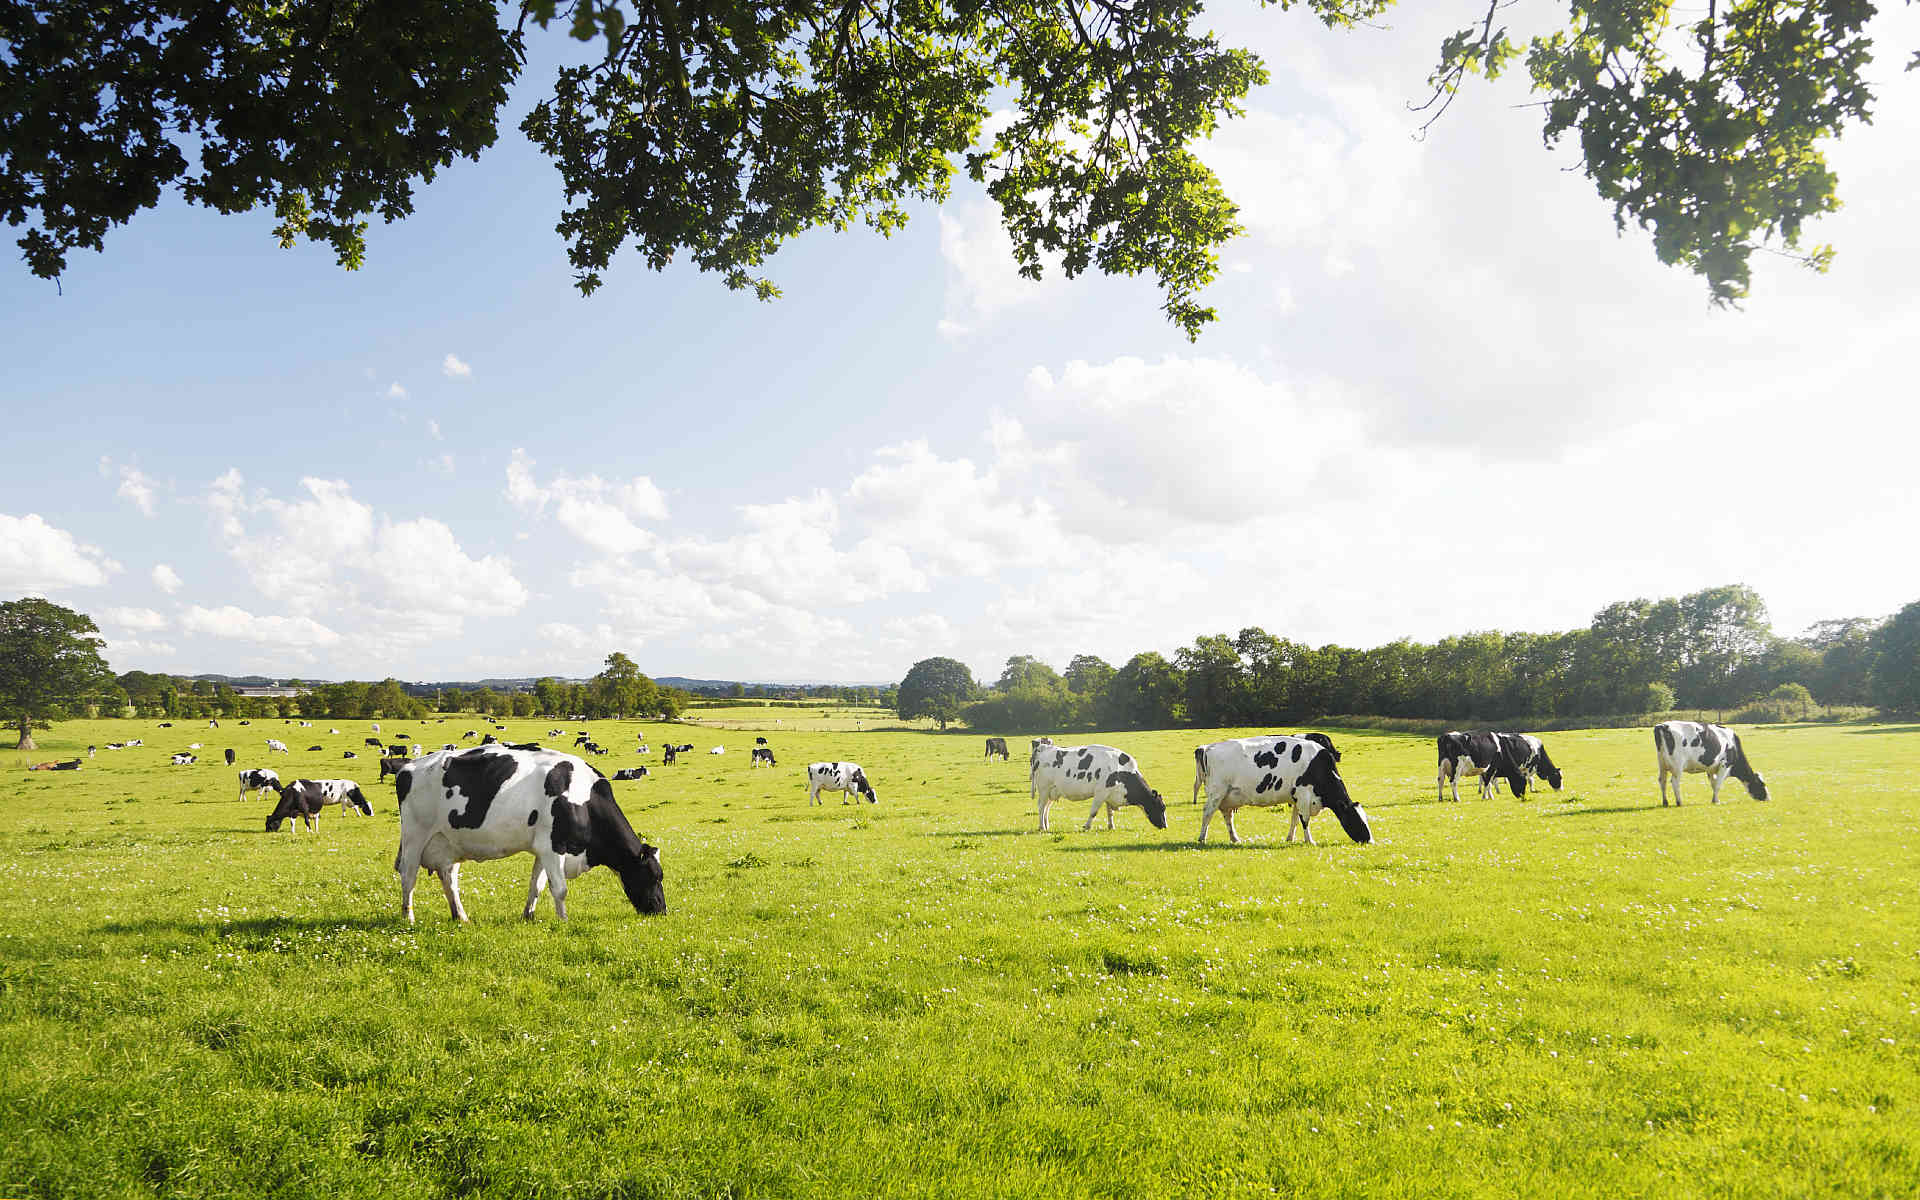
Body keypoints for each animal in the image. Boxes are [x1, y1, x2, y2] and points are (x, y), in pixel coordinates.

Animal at [389, 744, 668, 921]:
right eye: (653, 876)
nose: (661, 911)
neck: (583, 798)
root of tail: (408, 767)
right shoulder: (554, 847)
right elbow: (560, 888)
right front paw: (564, 920)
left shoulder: (543, 848)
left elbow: (537, 885)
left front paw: (529, 916)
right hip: (414, 837)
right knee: (408, 876)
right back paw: (408, 917)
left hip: (448, 842)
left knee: (449, 878)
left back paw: (461, 917)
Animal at [1029, 741, 1159, 833]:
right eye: (1161, 808)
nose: (1163, 825)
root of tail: (1043, 748)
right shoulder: (1100, 793)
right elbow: (1094, 812)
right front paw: (1086, 826)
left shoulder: (1109, 794)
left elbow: (1110, 812)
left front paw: (1111, 826)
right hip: (1044, 789)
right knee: (1041, 807)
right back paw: (1042, 827)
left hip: (1053, 791)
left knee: (1046, 808)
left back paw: (1046, 826)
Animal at [1190, 733, 1374, 848]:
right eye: (1357, 820)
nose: (1370, 841)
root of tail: (1208, 747)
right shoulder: (1304, 794)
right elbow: (1305, 820)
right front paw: (1310, 841)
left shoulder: (1297, 797)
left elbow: (1295, 820)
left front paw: (1290, 839)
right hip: (1217, 792)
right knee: (1207, 813)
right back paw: (1202, 838)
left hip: (1229, 796)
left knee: (1227, 816)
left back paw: (1235, 839)